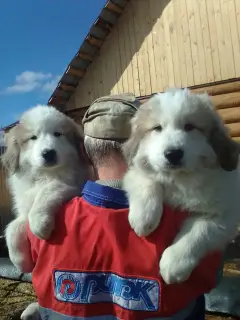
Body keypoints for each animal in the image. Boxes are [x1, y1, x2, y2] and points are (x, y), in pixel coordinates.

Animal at [1, 105, 87, 272]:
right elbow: (13, 227)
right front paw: (20, 261)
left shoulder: (75, 186)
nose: (48, 153)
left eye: (58, 134)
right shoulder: (24, 208)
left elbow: (49, 189)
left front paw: (39, 223)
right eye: (33, 137)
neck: (45, 174)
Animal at [123, 88, 240, 284]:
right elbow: (147, 180)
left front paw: (174, 264)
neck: (179, 179)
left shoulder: (224, 215)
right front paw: (144, 218)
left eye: (190, 127)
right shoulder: (135, 171)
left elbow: (199, 232)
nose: (173, 154)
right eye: (157, 128)